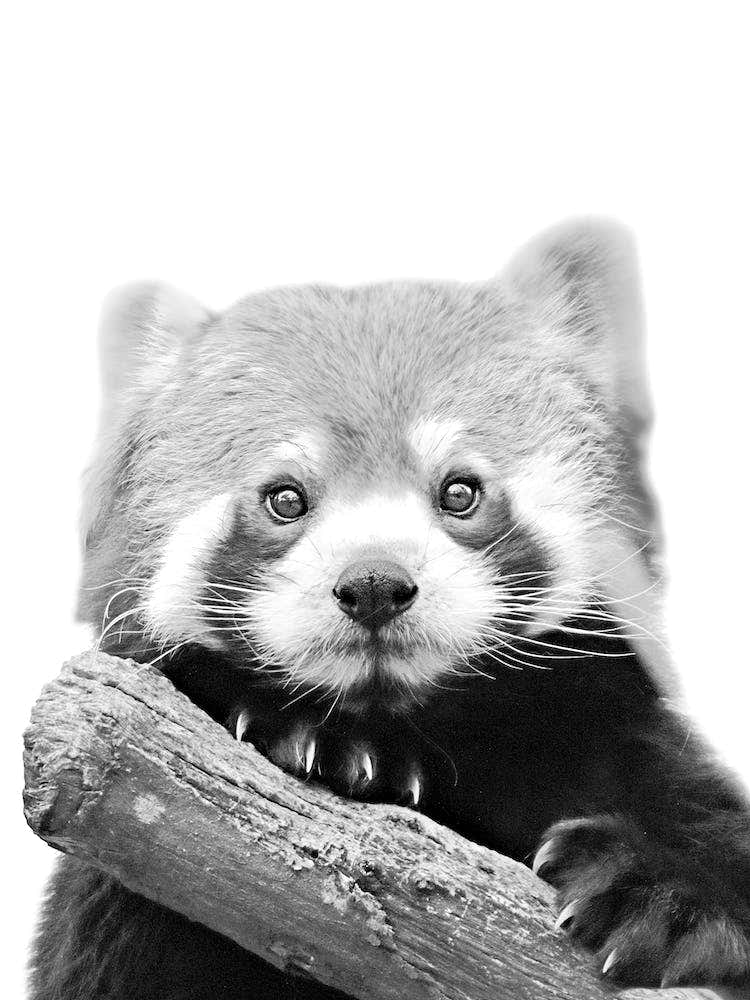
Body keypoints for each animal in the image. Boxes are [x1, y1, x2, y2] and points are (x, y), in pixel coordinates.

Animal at [29, 220, 750, 998]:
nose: (374, 581)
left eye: (460, 491)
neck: (418, 725)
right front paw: (310, 738)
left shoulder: (604, 727)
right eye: (285, 499)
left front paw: (666, 892)